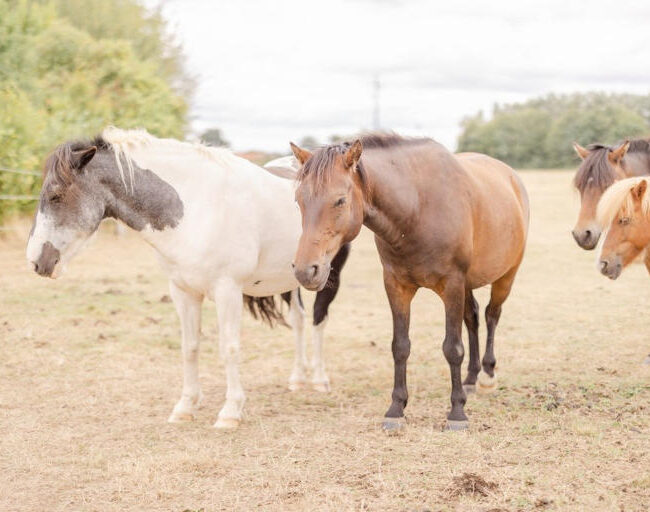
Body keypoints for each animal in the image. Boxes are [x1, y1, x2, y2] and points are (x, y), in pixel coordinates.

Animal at [25, 127, 351, 429]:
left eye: (55, 196)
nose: (36, 261)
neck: (198, 208)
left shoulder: (228, 291)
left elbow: (229, 348)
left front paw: (230, 412)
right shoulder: (183, 291)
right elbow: (190, 347)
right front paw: (185, 407)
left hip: (325, 276)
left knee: (318, 319)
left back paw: (319, 379)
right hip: (294, 278)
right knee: (298, 319)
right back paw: (297, 378)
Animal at [289, 134, 529, 430]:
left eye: (340, 200)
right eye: (298, 199)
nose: (305, 270)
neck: (418, 209)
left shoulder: (452, 285)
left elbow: (452, 348)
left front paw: (457, 412)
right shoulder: (397, 286)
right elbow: (400, 346)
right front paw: (396, 409)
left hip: (506, 276)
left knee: (491, 315)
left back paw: (486, 376)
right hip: (468, 284)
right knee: (473, 318)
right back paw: (471, 379)